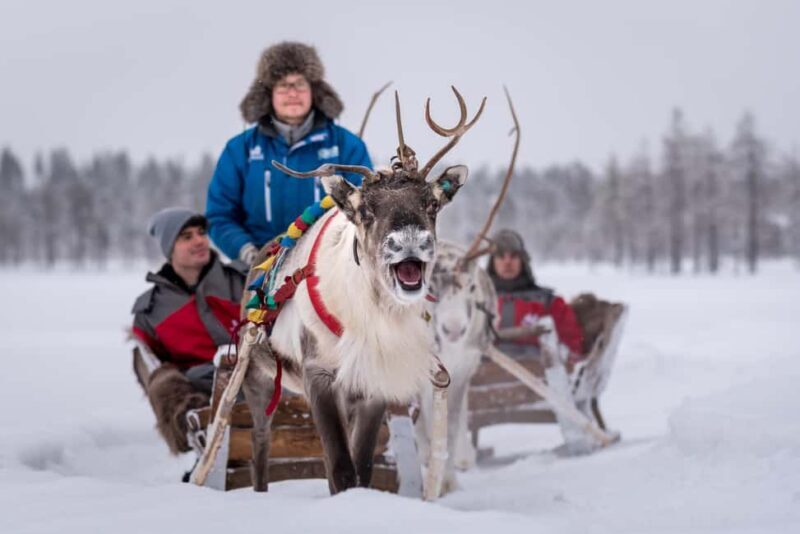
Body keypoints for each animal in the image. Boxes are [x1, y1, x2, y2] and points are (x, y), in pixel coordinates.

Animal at [238, 87, 486, 494]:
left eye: (432, 204)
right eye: (366, 210)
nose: (410, 242)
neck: (375, 315)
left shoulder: (374, 384)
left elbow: (362, 466)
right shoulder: (319, 375)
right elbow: (340, 467)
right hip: (255, 377)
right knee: (260, 440)